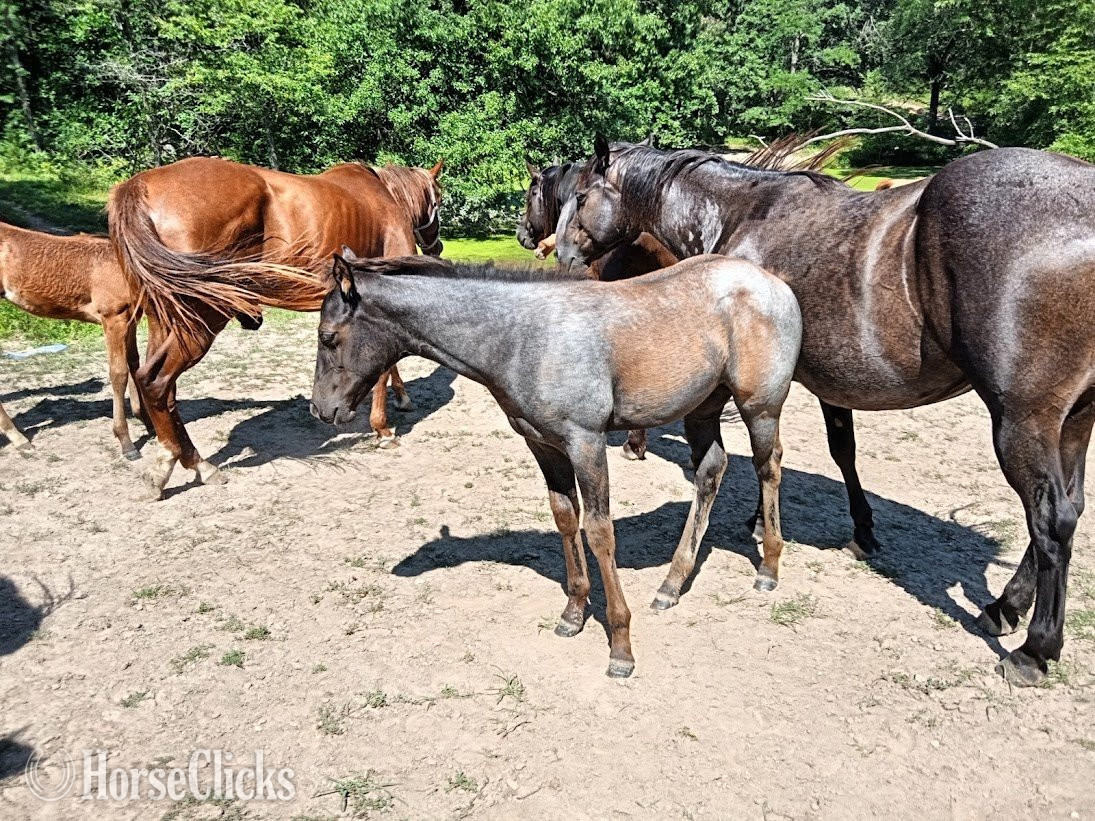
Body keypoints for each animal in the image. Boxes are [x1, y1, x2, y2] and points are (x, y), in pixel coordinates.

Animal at [0, 221, 149, 457]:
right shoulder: (113, 318)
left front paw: (147, 420)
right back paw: (20, 439)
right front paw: (126, 441)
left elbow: (133, 363)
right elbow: (119, 374)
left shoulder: (130, 319)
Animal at [108, 156, 442, 499]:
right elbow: (384, 366)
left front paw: (401, 398)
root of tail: (139, 187)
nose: (438, 246)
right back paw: (179, 463)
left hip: (164, 320)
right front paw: (383, 427)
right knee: (155, 382)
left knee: (162, 390)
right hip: (201, 320)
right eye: (439, 200)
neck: (386, 196)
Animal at [309, 250, 802, 677]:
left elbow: (600, 532)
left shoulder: (586, 441)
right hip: (703, 407)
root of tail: (775, 283)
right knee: (710, 472)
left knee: (768, 467)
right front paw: (573, 612)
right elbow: (566, 517)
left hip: (761, 407)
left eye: (327, 337)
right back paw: (671, 585)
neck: (522, 338)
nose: (321, 410)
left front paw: (621, 646)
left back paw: (768, 567)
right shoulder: (543, 445)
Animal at [565, 135, 1095, 687]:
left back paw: (1034, 649)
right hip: (1074, 421)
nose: (564, 255)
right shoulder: (828, 386)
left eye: (580, 196)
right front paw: (854, 530)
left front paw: (765, 533)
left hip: (1022, 422)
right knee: (1070, 508)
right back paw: (1004, 606)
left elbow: (771, 457)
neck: (740, 215)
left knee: (1051, 519)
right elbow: (840, 452)